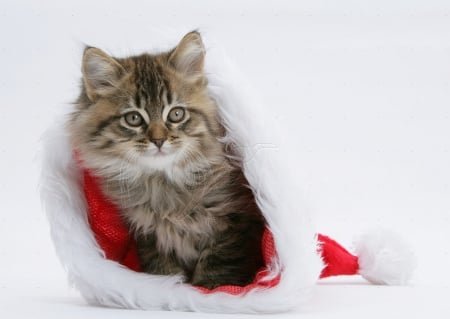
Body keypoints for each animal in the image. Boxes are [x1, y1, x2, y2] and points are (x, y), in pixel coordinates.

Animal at [68, 32, 266, 290]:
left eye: (176, 114)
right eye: (133, 118)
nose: (159, 140)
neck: (162, 184)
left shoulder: (235, 221)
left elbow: (218, 266)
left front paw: (209, 288)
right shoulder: (149, 235)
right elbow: (164, 271)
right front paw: (169, 289)